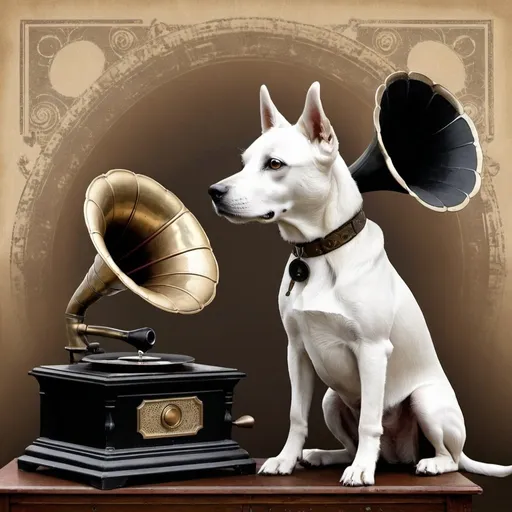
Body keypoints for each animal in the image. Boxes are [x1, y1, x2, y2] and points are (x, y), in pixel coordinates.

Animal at [208, 82, 512, 486]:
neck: (320, 252)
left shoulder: (371, 351)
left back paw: (419, 464)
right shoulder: (297, 351)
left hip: (427, 402)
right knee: (356, 444)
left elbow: (369, 421)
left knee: (448, 455)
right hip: (330, 399)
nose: (214, 192)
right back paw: (325, 456)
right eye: (244, 162)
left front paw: (362, 472)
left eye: (274, 164)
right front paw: (285, 460)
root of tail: (400, 455)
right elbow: (296, 415)